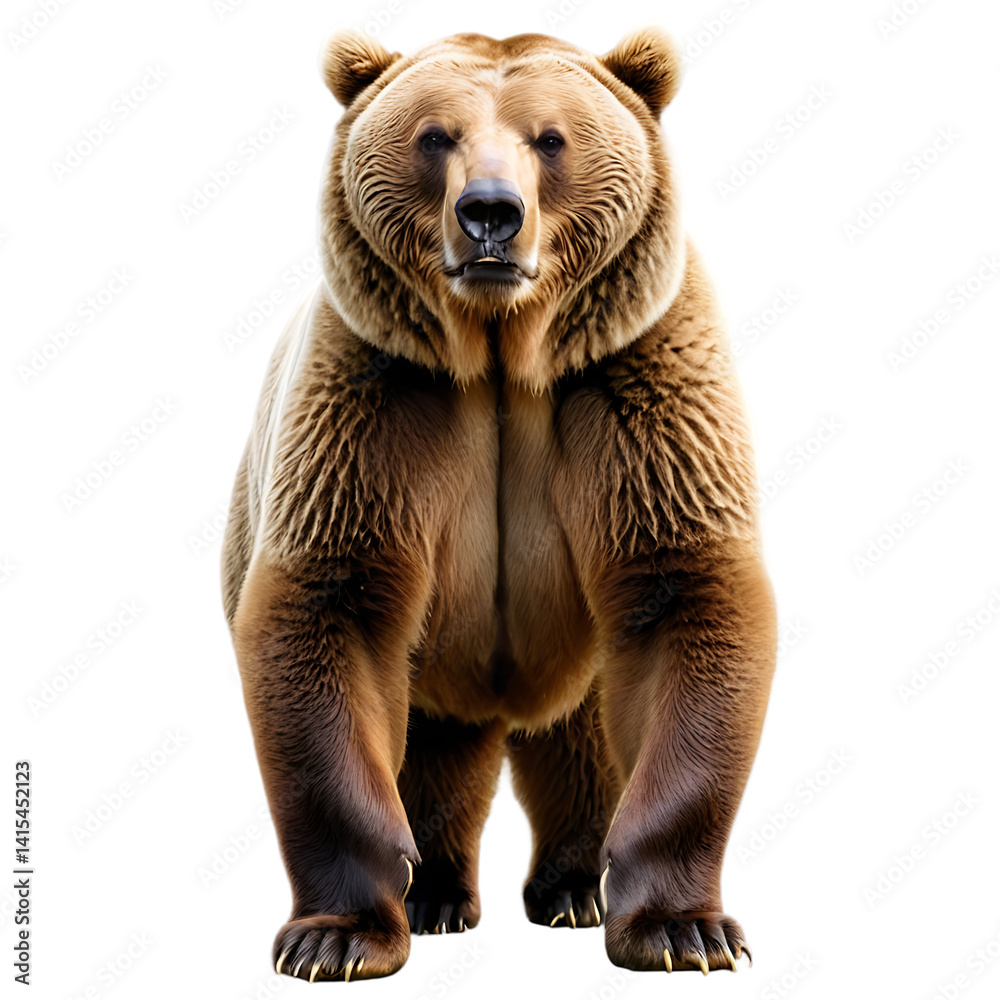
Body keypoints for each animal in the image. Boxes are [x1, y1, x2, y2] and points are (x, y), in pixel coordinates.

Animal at [222, 26, 777, 983]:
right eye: (434, 135)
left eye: (549, 137)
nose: (490, 214)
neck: (499, 352)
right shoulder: (378, 397)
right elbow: (330, 609)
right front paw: (336, 937)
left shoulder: (635, 381)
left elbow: (685, 594)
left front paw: (686, 932)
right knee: (438, 748)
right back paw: (438, 896)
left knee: (582, 743)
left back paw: (573, 890)